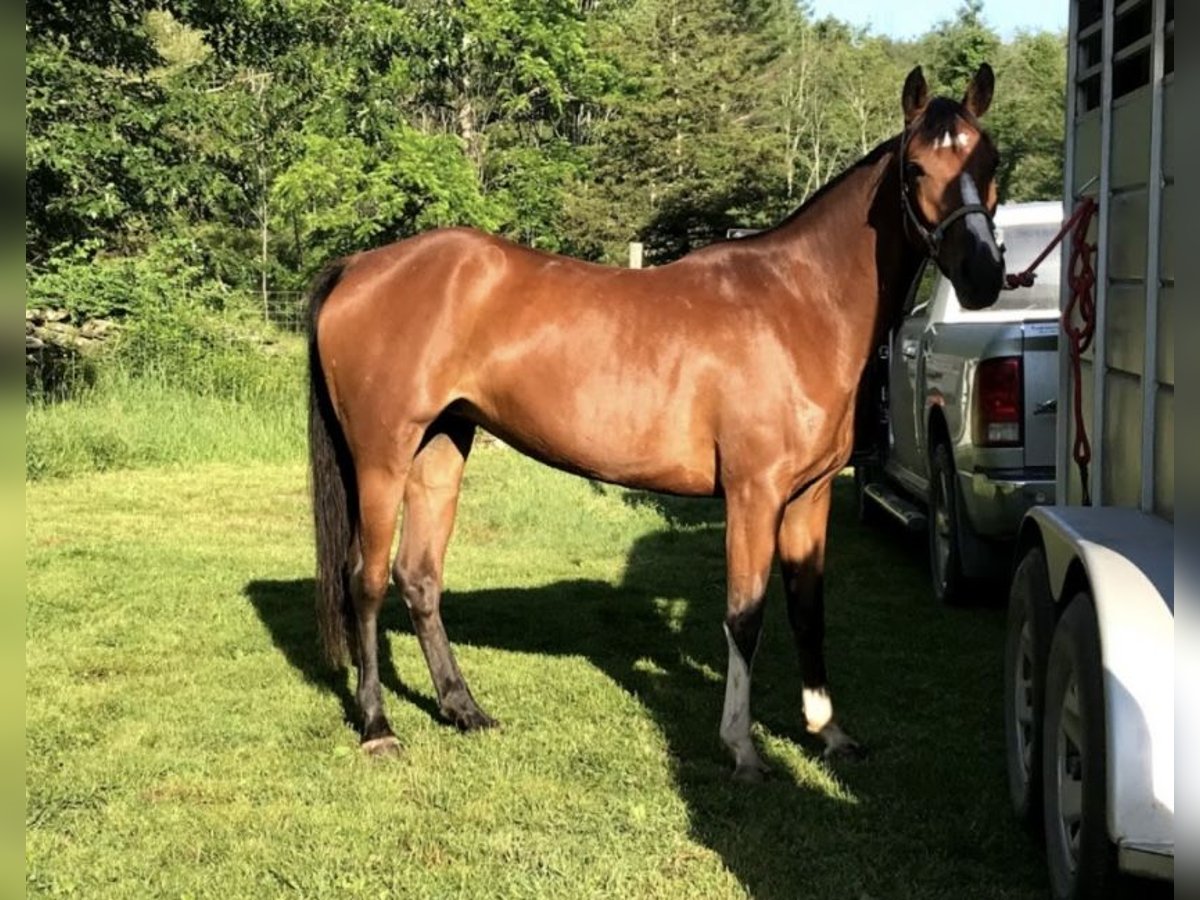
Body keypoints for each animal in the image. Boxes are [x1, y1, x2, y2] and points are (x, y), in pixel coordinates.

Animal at [307, 65, 1003, 782]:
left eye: (990, 161)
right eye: (916, 168)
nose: (984, 273)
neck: (798, 305)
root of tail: (358, 267)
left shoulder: (809, 498)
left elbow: (808, 612)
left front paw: (829, 733)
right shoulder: (754, 495)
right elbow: (744, 615)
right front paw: (742, 748)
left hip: (442, 445)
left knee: (419, 576)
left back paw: (464, 709)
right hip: (381, 456)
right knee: (364, 578)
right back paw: (378, 726)